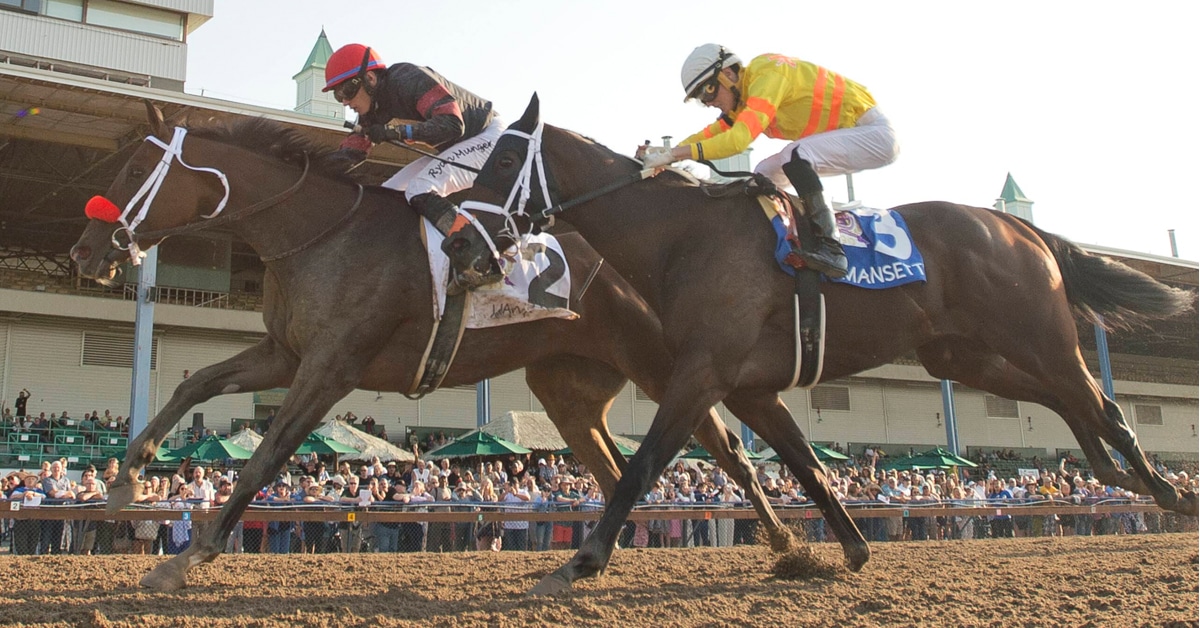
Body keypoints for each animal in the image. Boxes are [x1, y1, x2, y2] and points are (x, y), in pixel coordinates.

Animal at [67, 103, 800, 590]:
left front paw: (189, 556)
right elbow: (193, 384)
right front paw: (127, 478)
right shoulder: (286, 353)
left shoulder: (331, 367)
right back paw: (598, 558)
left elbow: (266, 455)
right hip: (567, 388)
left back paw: (788, 544)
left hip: (664, 364)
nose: (83, 251)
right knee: (615, 467)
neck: (319, 233)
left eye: (136, 167)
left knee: (729, 449)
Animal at [453, 94, 1197, 594]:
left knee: (1102, 402)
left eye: (507, 157)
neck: (682, 236)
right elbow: (806, 466)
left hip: (1039, 336)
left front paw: (583, 560)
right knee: (1070, 401)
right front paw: (847, 550)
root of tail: (1022, 230)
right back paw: (1115, 475)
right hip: (967, 355)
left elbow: (645, 465)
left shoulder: (703, 373)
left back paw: (1167, 491)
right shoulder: (749, 387)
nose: (460, 241)